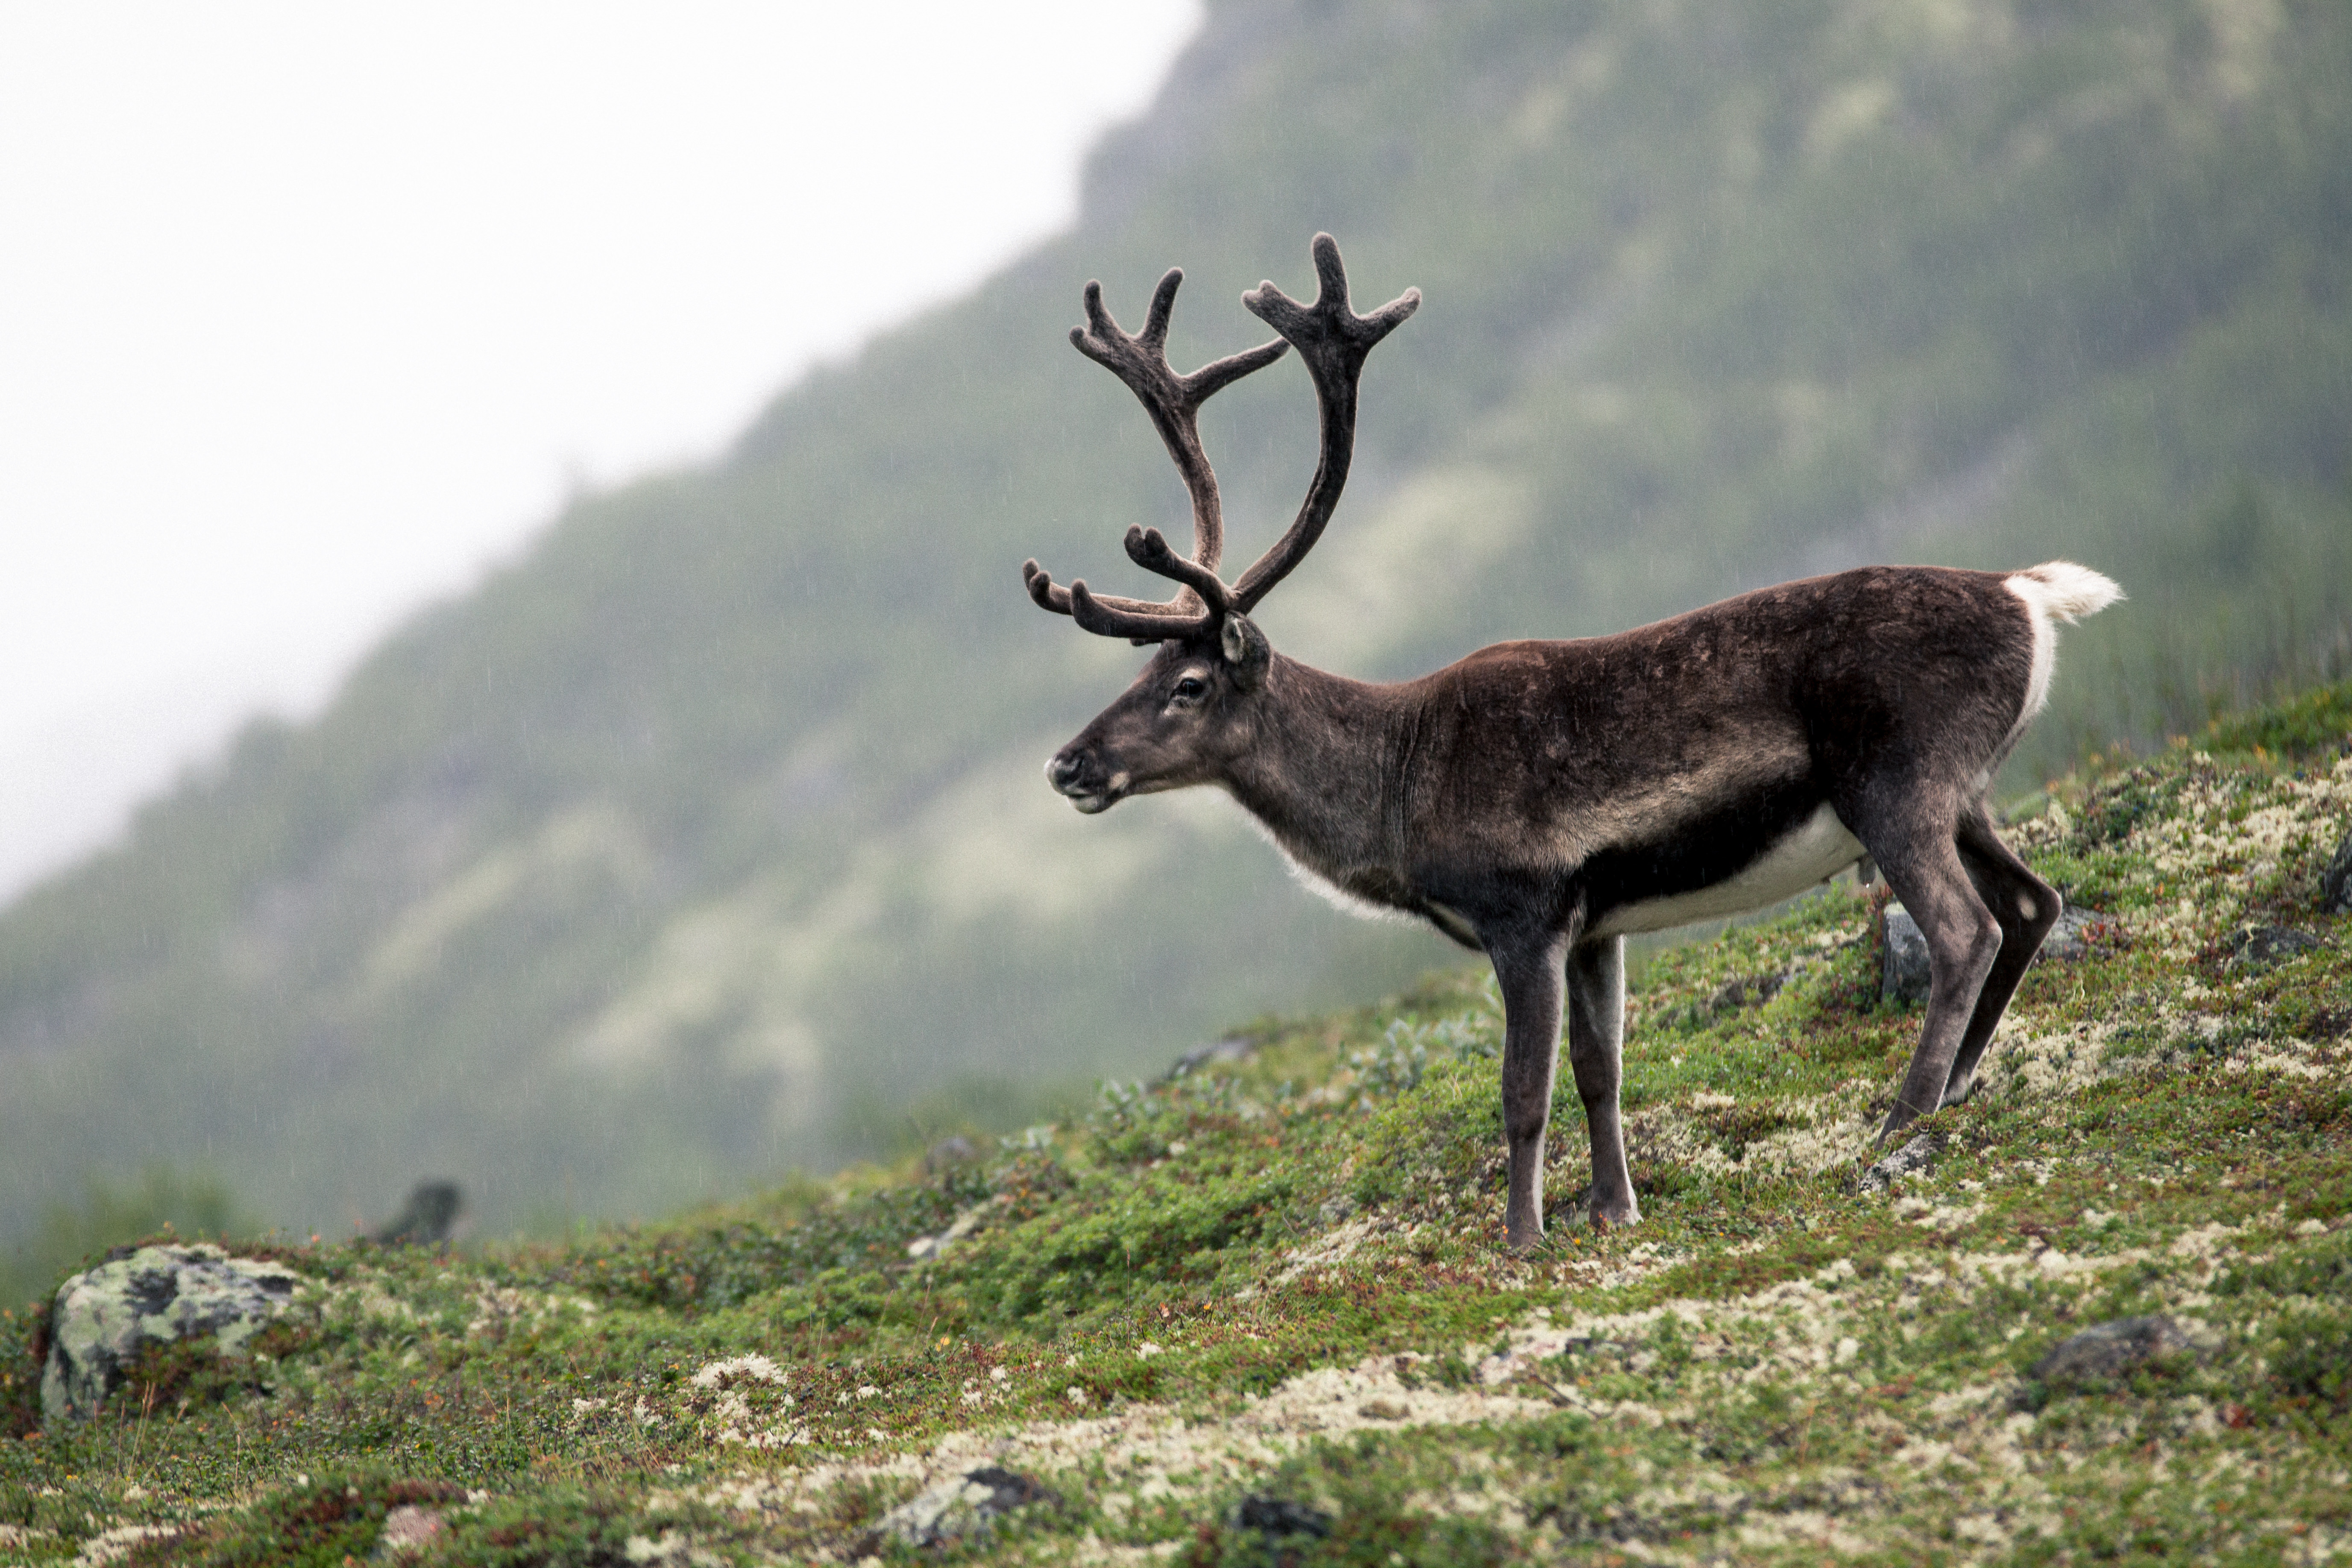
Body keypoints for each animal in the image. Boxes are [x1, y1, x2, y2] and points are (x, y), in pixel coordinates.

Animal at [1022, 234, 2121, 1250]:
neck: (1395, 787)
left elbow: (1523, 1089)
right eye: (1136, 676)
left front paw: (1522, 1236)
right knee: (2032, 901)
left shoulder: (1525, 913)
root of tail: (2028, 596)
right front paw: (1611, 1206)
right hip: (1963, 792)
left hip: (1896, 787)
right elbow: (1600, 1070)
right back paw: (1961, 1084)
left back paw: (1901, 1119)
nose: (1067, 764)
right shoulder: (1598, 923)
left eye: (1188, 686)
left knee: (1962, 928)